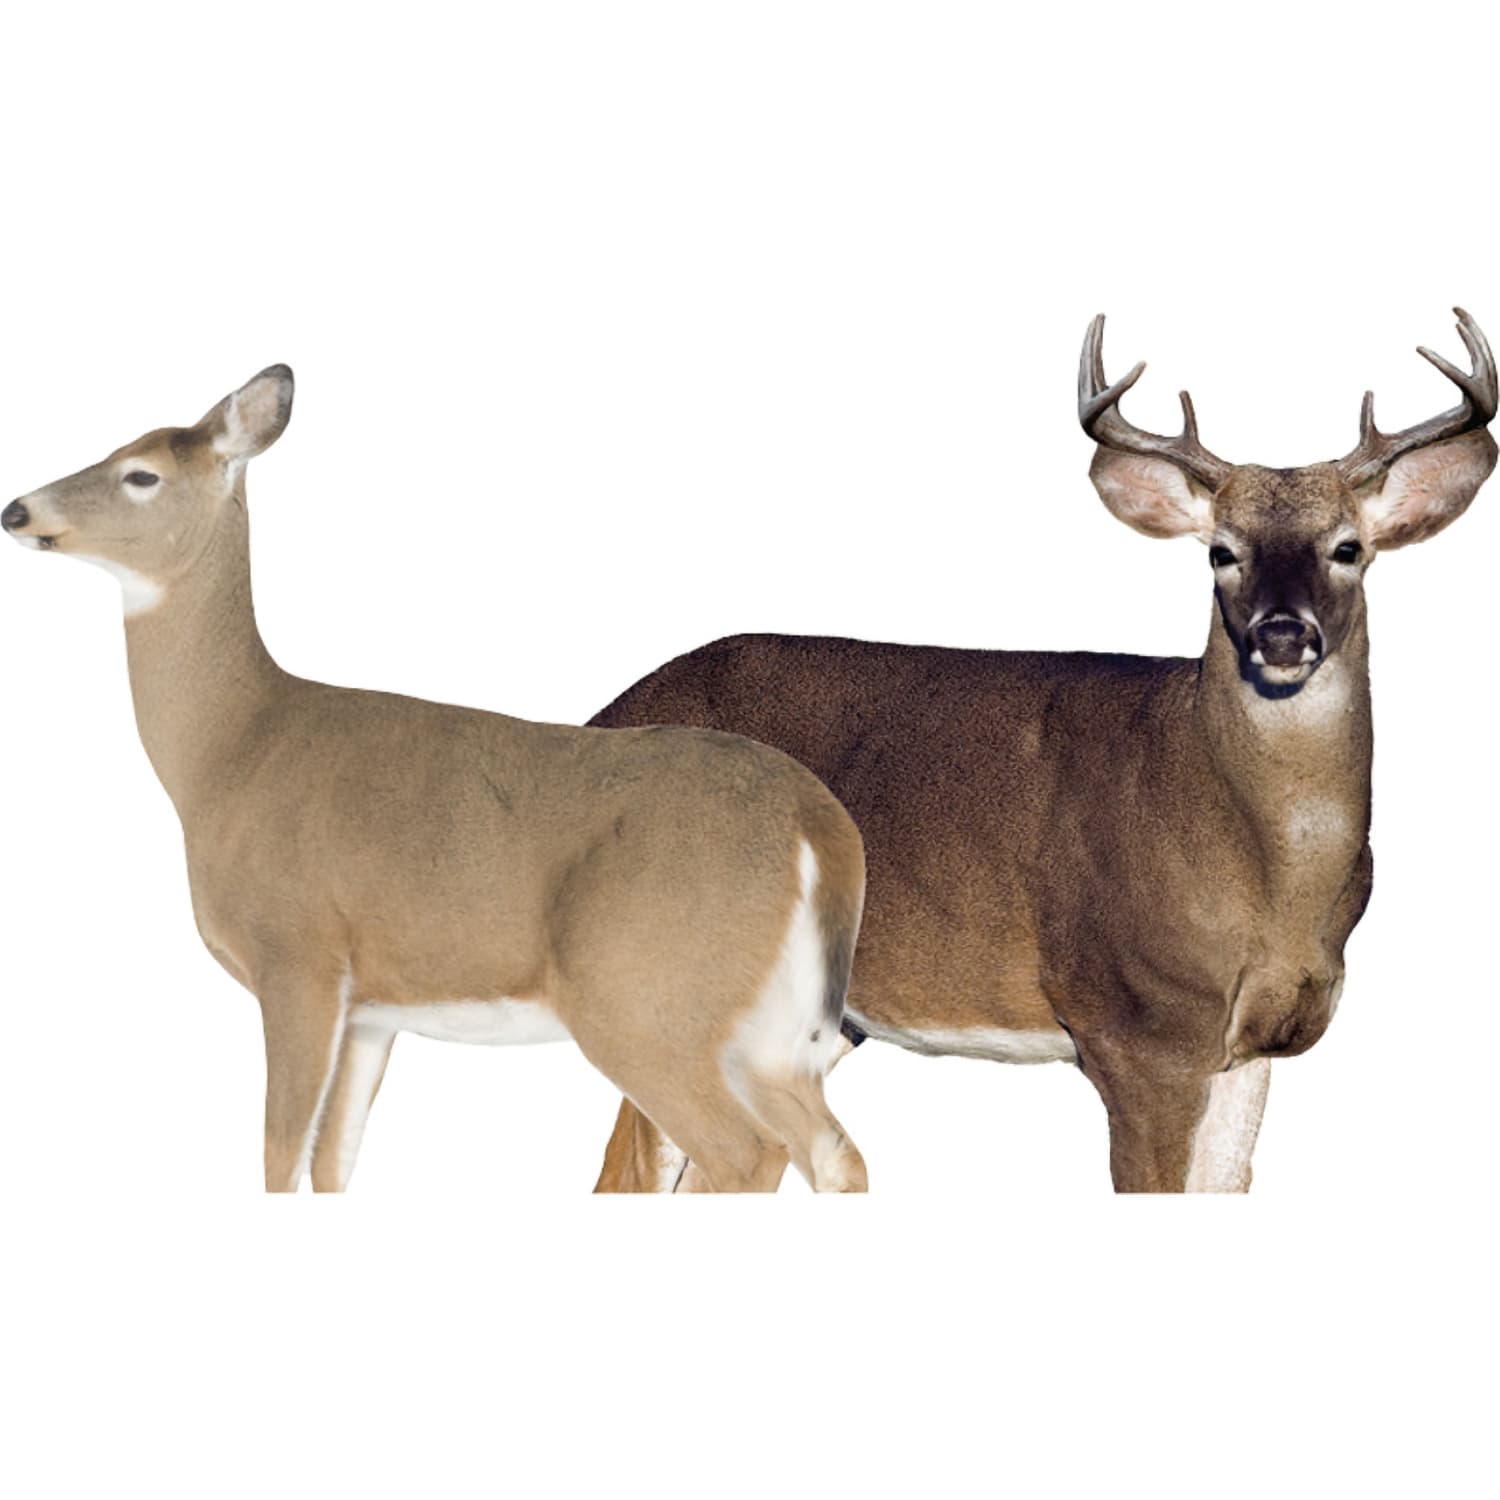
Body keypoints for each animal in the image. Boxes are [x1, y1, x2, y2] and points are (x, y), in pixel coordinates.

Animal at [1, 366, 869, 1194]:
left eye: (139, 474)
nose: (15, 510)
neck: (231, 751)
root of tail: (821, 826)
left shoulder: (298, 956)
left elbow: (279, 1157)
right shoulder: (372, 1010)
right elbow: (334, 1163)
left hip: (644, 1000)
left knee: (745, 1154)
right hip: (768, 1031)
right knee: (835, 1154)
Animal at [591, 308, 1497, 1193]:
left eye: (1348, 548)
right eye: (1221, 551)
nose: (1281, 634)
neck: (1265, 875)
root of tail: (601, 714)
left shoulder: (1255, 1044)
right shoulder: (1135, 1028)